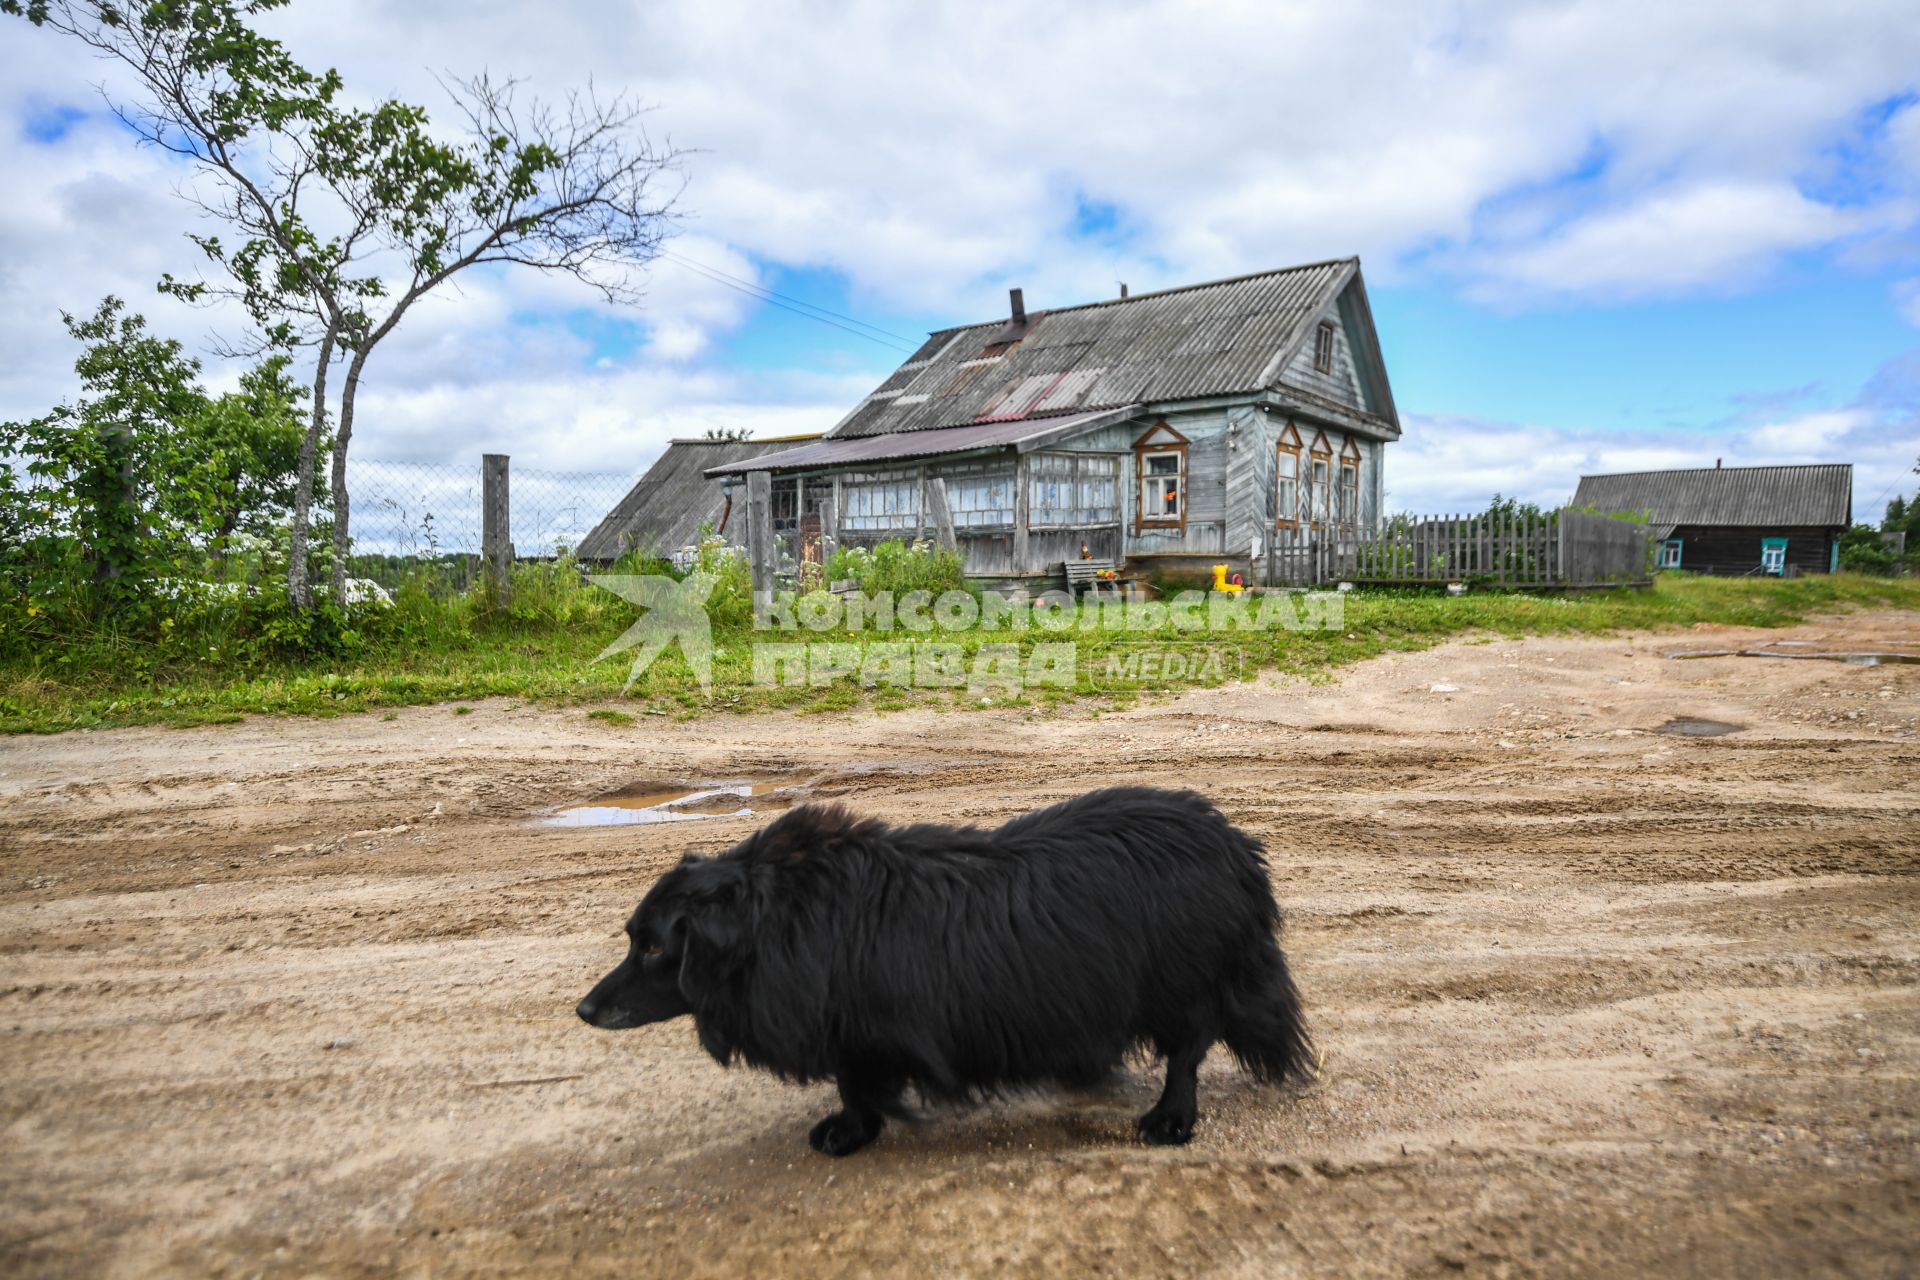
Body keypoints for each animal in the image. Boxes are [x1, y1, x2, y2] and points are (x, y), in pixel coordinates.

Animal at [576, 786, 1313, 1159]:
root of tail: (1235, 846)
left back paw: (1170, 1120)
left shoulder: (854, 1032)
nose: (584, 1011)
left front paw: (850, 1133)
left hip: (1183, 986)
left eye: (652, 949)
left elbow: (854, 1085)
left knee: (1188, 1051)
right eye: (635, 940)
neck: (775, 918)